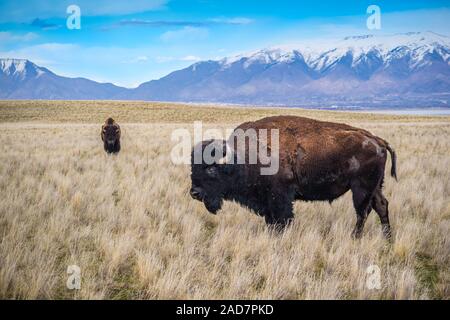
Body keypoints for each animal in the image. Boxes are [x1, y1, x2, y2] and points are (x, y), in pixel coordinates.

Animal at [190, 116, 398, 239]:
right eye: (193, 168)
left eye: (211, 169)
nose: (194, 193)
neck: (240, 158)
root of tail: (377, 140)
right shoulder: (268, 202)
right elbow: (271, 220)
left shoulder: (280, 198)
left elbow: (281, 220)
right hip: (375, 187)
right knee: (381, 205)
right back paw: (387, 238)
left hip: (361, 189)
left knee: (363, 212)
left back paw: (354, 237)